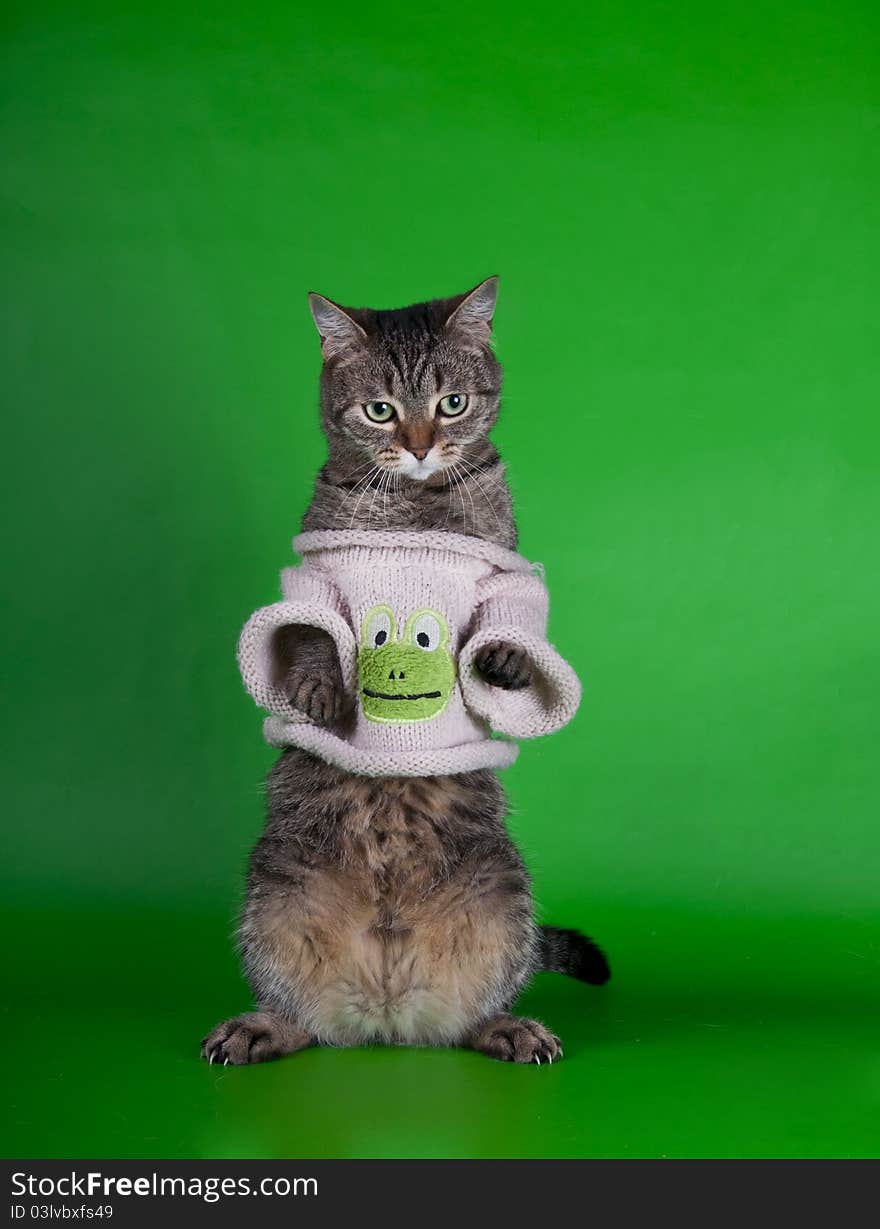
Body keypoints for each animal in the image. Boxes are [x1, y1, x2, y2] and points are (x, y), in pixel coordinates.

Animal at [201, 278, 609, 1066]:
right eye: (381, 410)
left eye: (452, 403)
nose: (419, 447)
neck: (415, 506)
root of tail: (387, 1014)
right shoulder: (312, 575)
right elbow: (306, 629)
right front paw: (318, 683)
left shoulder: (506, 576)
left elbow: (512, 619)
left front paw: (505, 658)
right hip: (272, 893)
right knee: (305, 1015)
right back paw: (264, 1024)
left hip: (502, 891)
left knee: (473, 1009)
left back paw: (505, 1026)